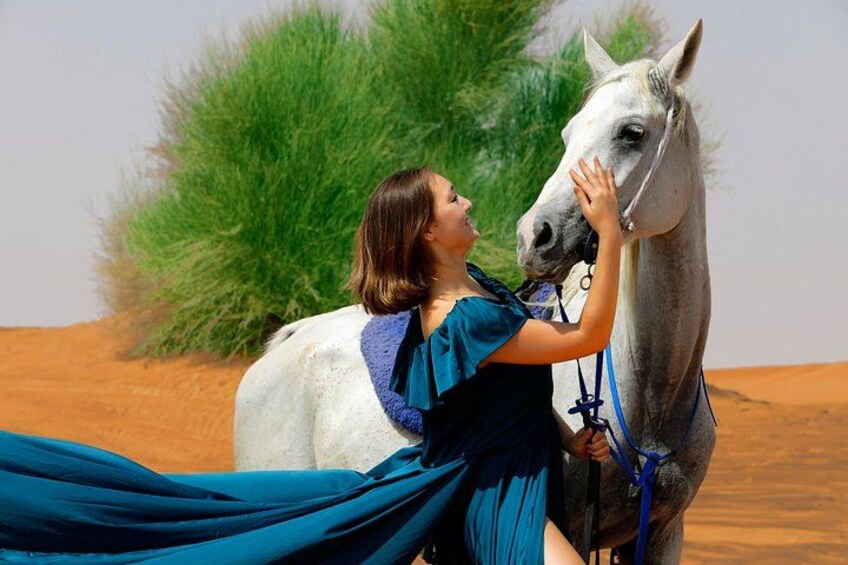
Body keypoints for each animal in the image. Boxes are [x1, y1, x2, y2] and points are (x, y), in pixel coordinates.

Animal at [234, 20, 713, 563]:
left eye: (632, 133)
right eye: (568, 133)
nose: (535, 235)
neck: (654, 398)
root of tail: (287, 342)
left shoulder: (662, 533)